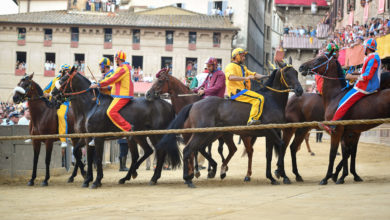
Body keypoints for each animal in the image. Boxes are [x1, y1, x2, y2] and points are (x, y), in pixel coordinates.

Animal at [155, 60, 304, 187]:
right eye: (287, 74)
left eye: (296, 72)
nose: (299, 90)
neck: (271, 100)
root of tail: (194, 104)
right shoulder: (271, 131)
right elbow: (281, 146)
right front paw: (282, 175)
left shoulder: (271, 133)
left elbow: (270, 154)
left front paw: (274, 176)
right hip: (203, 134)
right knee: (189, 150)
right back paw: (190, 178)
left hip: (212, 135)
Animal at [300, 51, 390, 184]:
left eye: (320, 59)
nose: (302, 67)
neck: (336, 95)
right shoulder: (352, 132)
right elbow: (349, 153)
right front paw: (346, 175)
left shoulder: (338, 131)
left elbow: (334, 153)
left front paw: (328, 177)